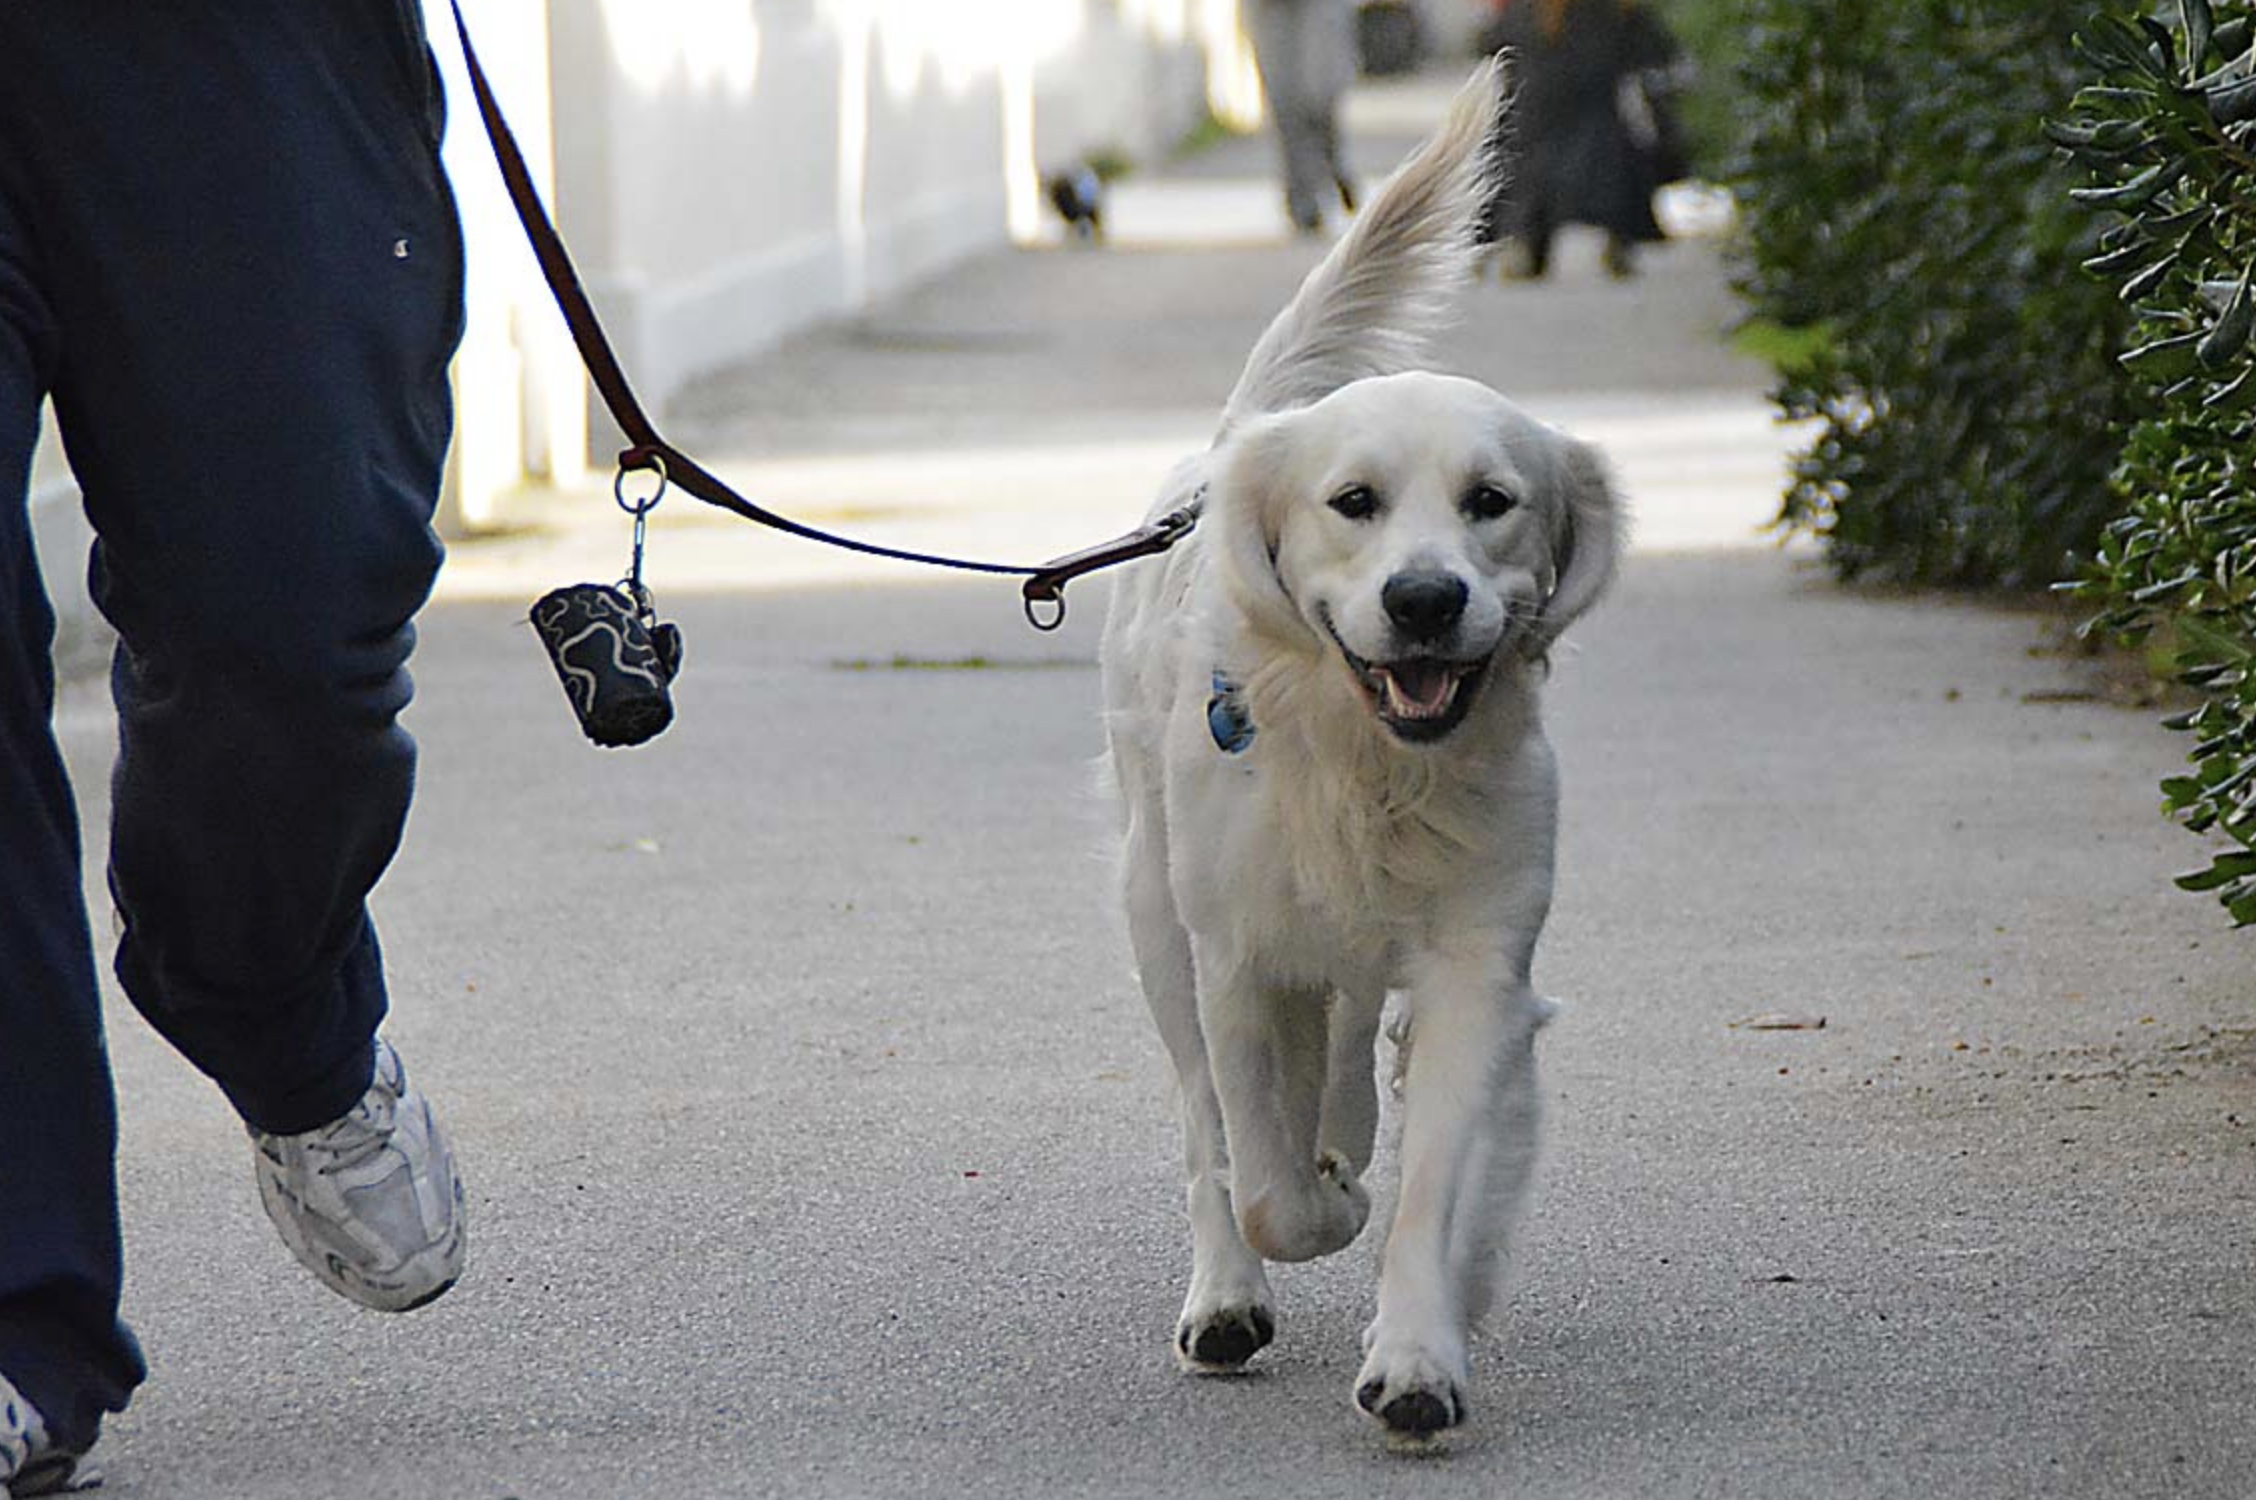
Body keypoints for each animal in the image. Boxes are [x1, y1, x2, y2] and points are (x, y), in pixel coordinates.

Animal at [1096, 61, 1615, 1443]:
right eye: (1353, 504)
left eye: (1493, 503)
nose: (1426, 600)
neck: (1374, 766)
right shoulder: (1233, 955)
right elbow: (1266, 1177)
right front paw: (1315, 1211)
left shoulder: (1478, 960)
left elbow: (1437, 1180)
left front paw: (1424, 1353)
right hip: (1154, 913)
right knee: (1207, 1128)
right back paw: (1226, 1294)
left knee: (1344, 1052)